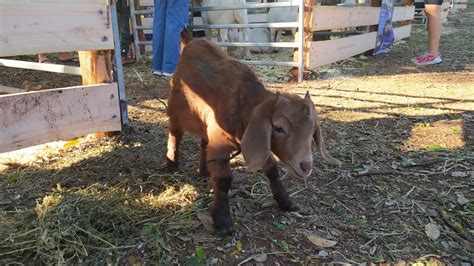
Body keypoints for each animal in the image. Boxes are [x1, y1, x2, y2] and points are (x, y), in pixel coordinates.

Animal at [167, 30, 340, 236]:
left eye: (313, 130)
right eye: (279, 128)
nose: (306, 166)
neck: (244, 103)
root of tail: (190, 41)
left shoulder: (256, 142)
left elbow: (272, 168)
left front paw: (286, 202)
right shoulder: (220, 141)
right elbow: (223, 178)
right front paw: (222, 221)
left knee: (203, 141)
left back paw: (203, 171)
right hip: (176, 108)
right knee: (175, 133)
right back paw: (171, 163)